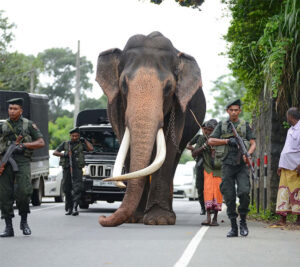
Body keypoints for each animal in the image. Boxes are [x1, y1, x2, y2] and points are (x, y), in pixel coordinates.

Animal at [96, 31, 206, 228]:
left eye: (169, 87)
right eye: (123, 85)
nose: (102, 218)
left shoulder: (180, 105)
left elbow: (169, 147)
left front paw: (159, 220)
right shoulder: (117, 106)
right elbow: (127, 146)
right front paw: (134, 218)